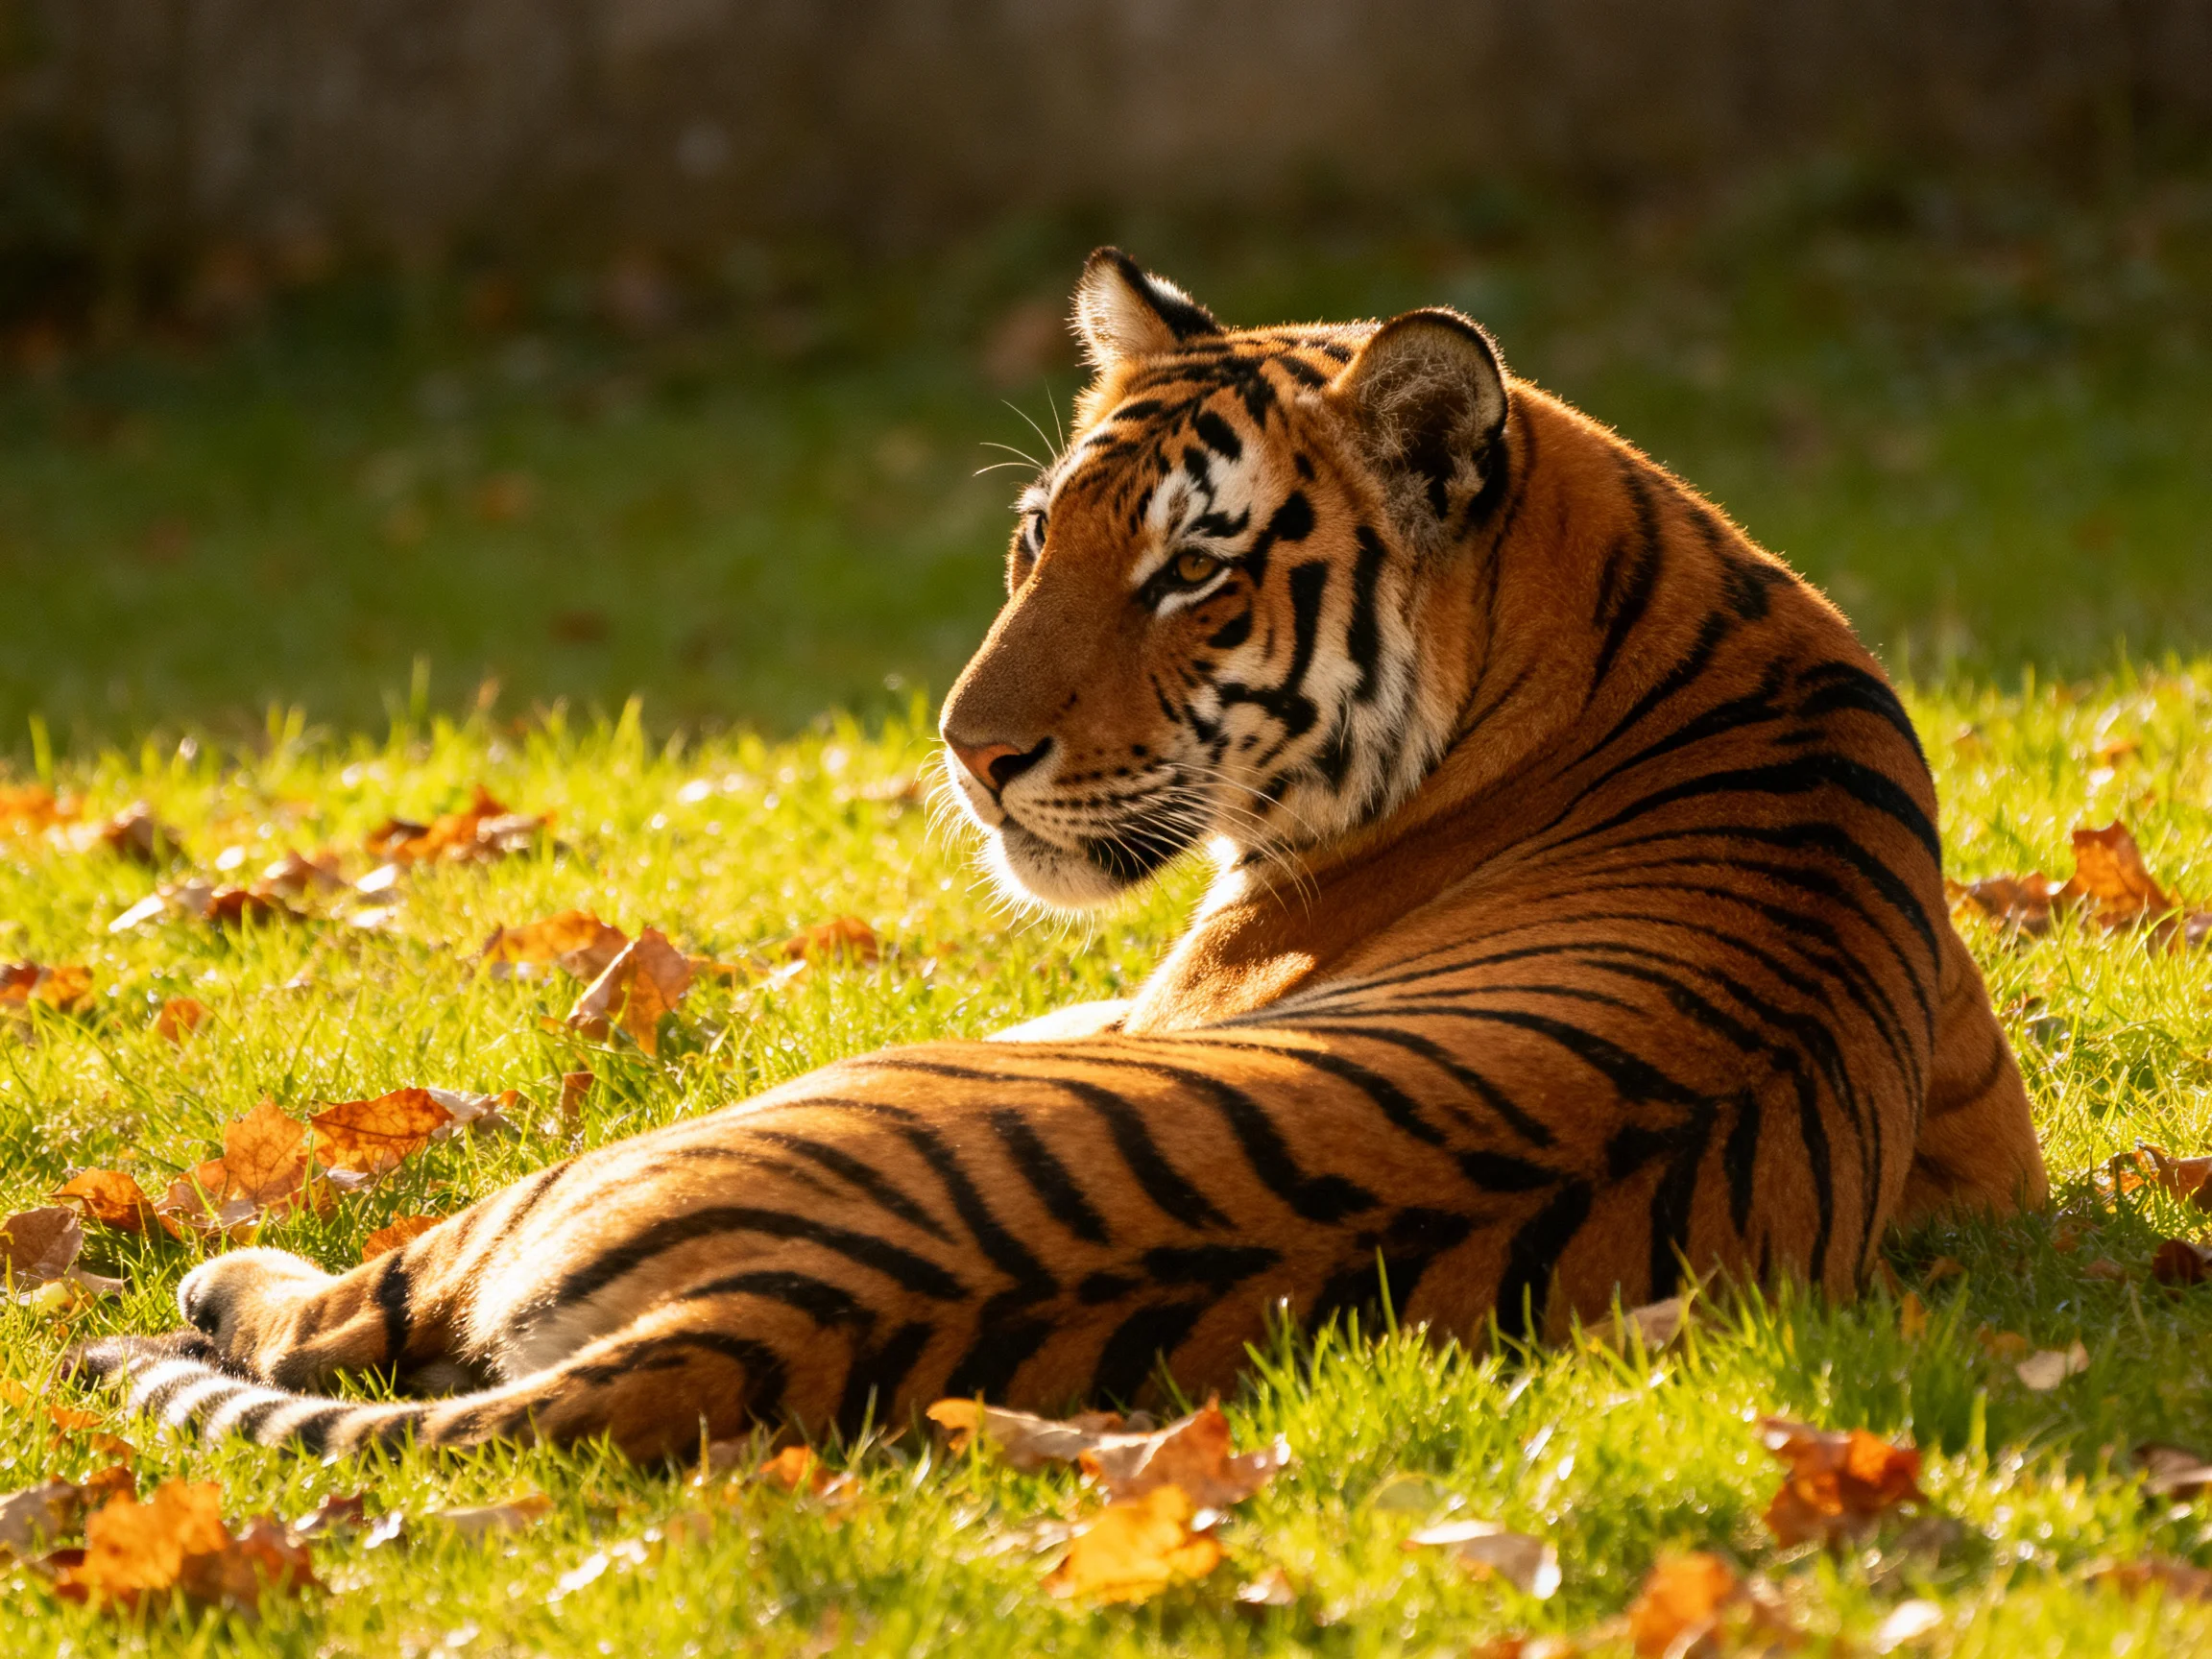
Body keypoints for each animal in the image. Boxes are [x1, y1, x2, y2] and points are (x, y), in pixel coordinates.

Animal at [69, 248, 2048, 1459]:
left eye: (1193, 570)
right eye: (1040, 536)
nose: (967, 750)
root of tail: (761, 1316)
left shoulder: (1154, 992)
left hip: (612, 1170)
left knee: (339, 1310)